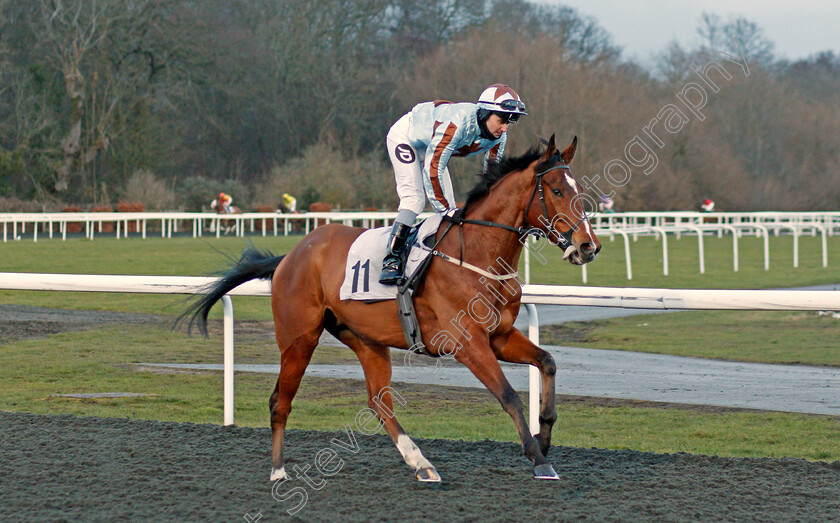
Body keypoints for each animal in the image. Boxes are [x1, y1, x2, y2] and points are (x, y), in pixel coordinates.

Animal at [183, 135, 600, 484]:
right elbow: (510, 396)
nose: (588, 246)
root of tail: (291, 255)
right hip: (298, 339)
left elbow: (547, 362)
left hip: (366, 340)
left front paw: (544, 437)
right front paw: (539, 459)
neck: (478, 253)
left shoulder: (499, 336)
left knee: (379, 402)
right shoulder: (467, 343)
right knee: (280, 402)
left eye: (577, 190)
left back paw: (422, 463)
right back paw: (278, 471)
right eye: (557, 190)